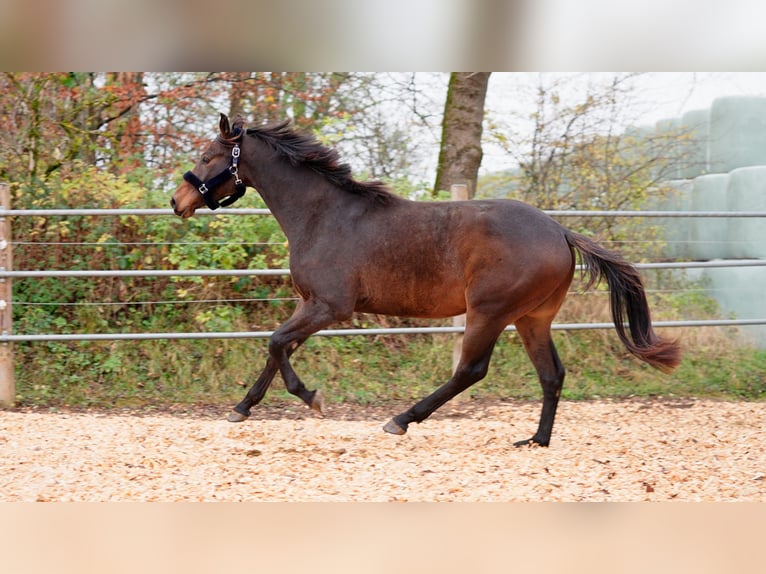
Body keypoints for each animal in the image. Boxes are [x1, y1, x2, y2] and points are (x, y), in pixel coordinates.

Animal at [171, 115, 680, 448]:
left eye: (208, 155)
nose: (178, 201)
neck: (324, 215)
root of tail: (560, 231)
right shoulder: (309, 304)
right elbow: (277, 348)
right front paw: (242, 408)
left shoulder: (330, 307)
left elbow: (277, 344)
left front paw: (312, 399)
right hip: (532, 318)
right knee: (551, 374)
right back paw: (536, 440)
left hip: (489, 312)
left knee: (471, 370)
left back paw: (401, 419)